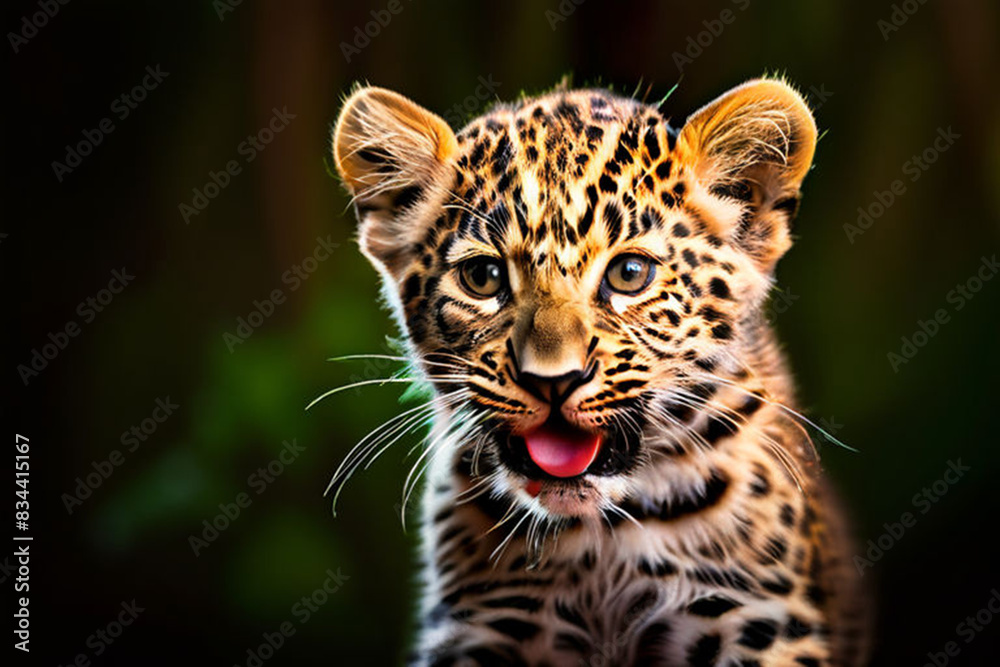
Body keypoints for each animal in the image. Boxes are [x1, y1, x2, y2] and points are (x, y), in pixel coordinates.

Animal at [330, 77, 871, 666]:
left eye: (630, 273)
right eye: (483, 277)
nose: (552, 380)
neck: (597, 545)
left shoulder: (754, 617)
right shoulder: (486, 622)